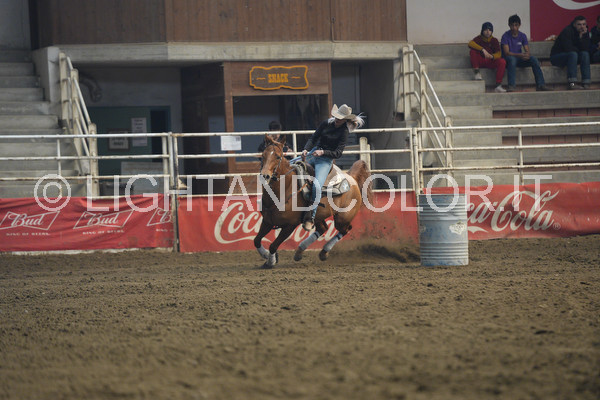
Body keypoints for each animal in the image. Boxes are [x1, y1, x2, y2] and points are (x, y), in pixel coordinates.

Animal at [254, 135, 372, 268]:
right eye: (263, 154)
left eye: (278, 156)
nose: (265, 176)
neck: (285, 188)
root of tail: (351, 177)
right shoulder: (267, 221)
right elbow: (256, 240)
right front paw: (266, 255)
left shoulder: (290, 225)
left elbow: (273, 245)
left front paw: (271, 261)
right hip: (318, 216)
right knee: (323, 228)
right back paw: (300, 251)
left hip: (343, 218)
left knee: (345, 229)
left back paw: (324, 251)